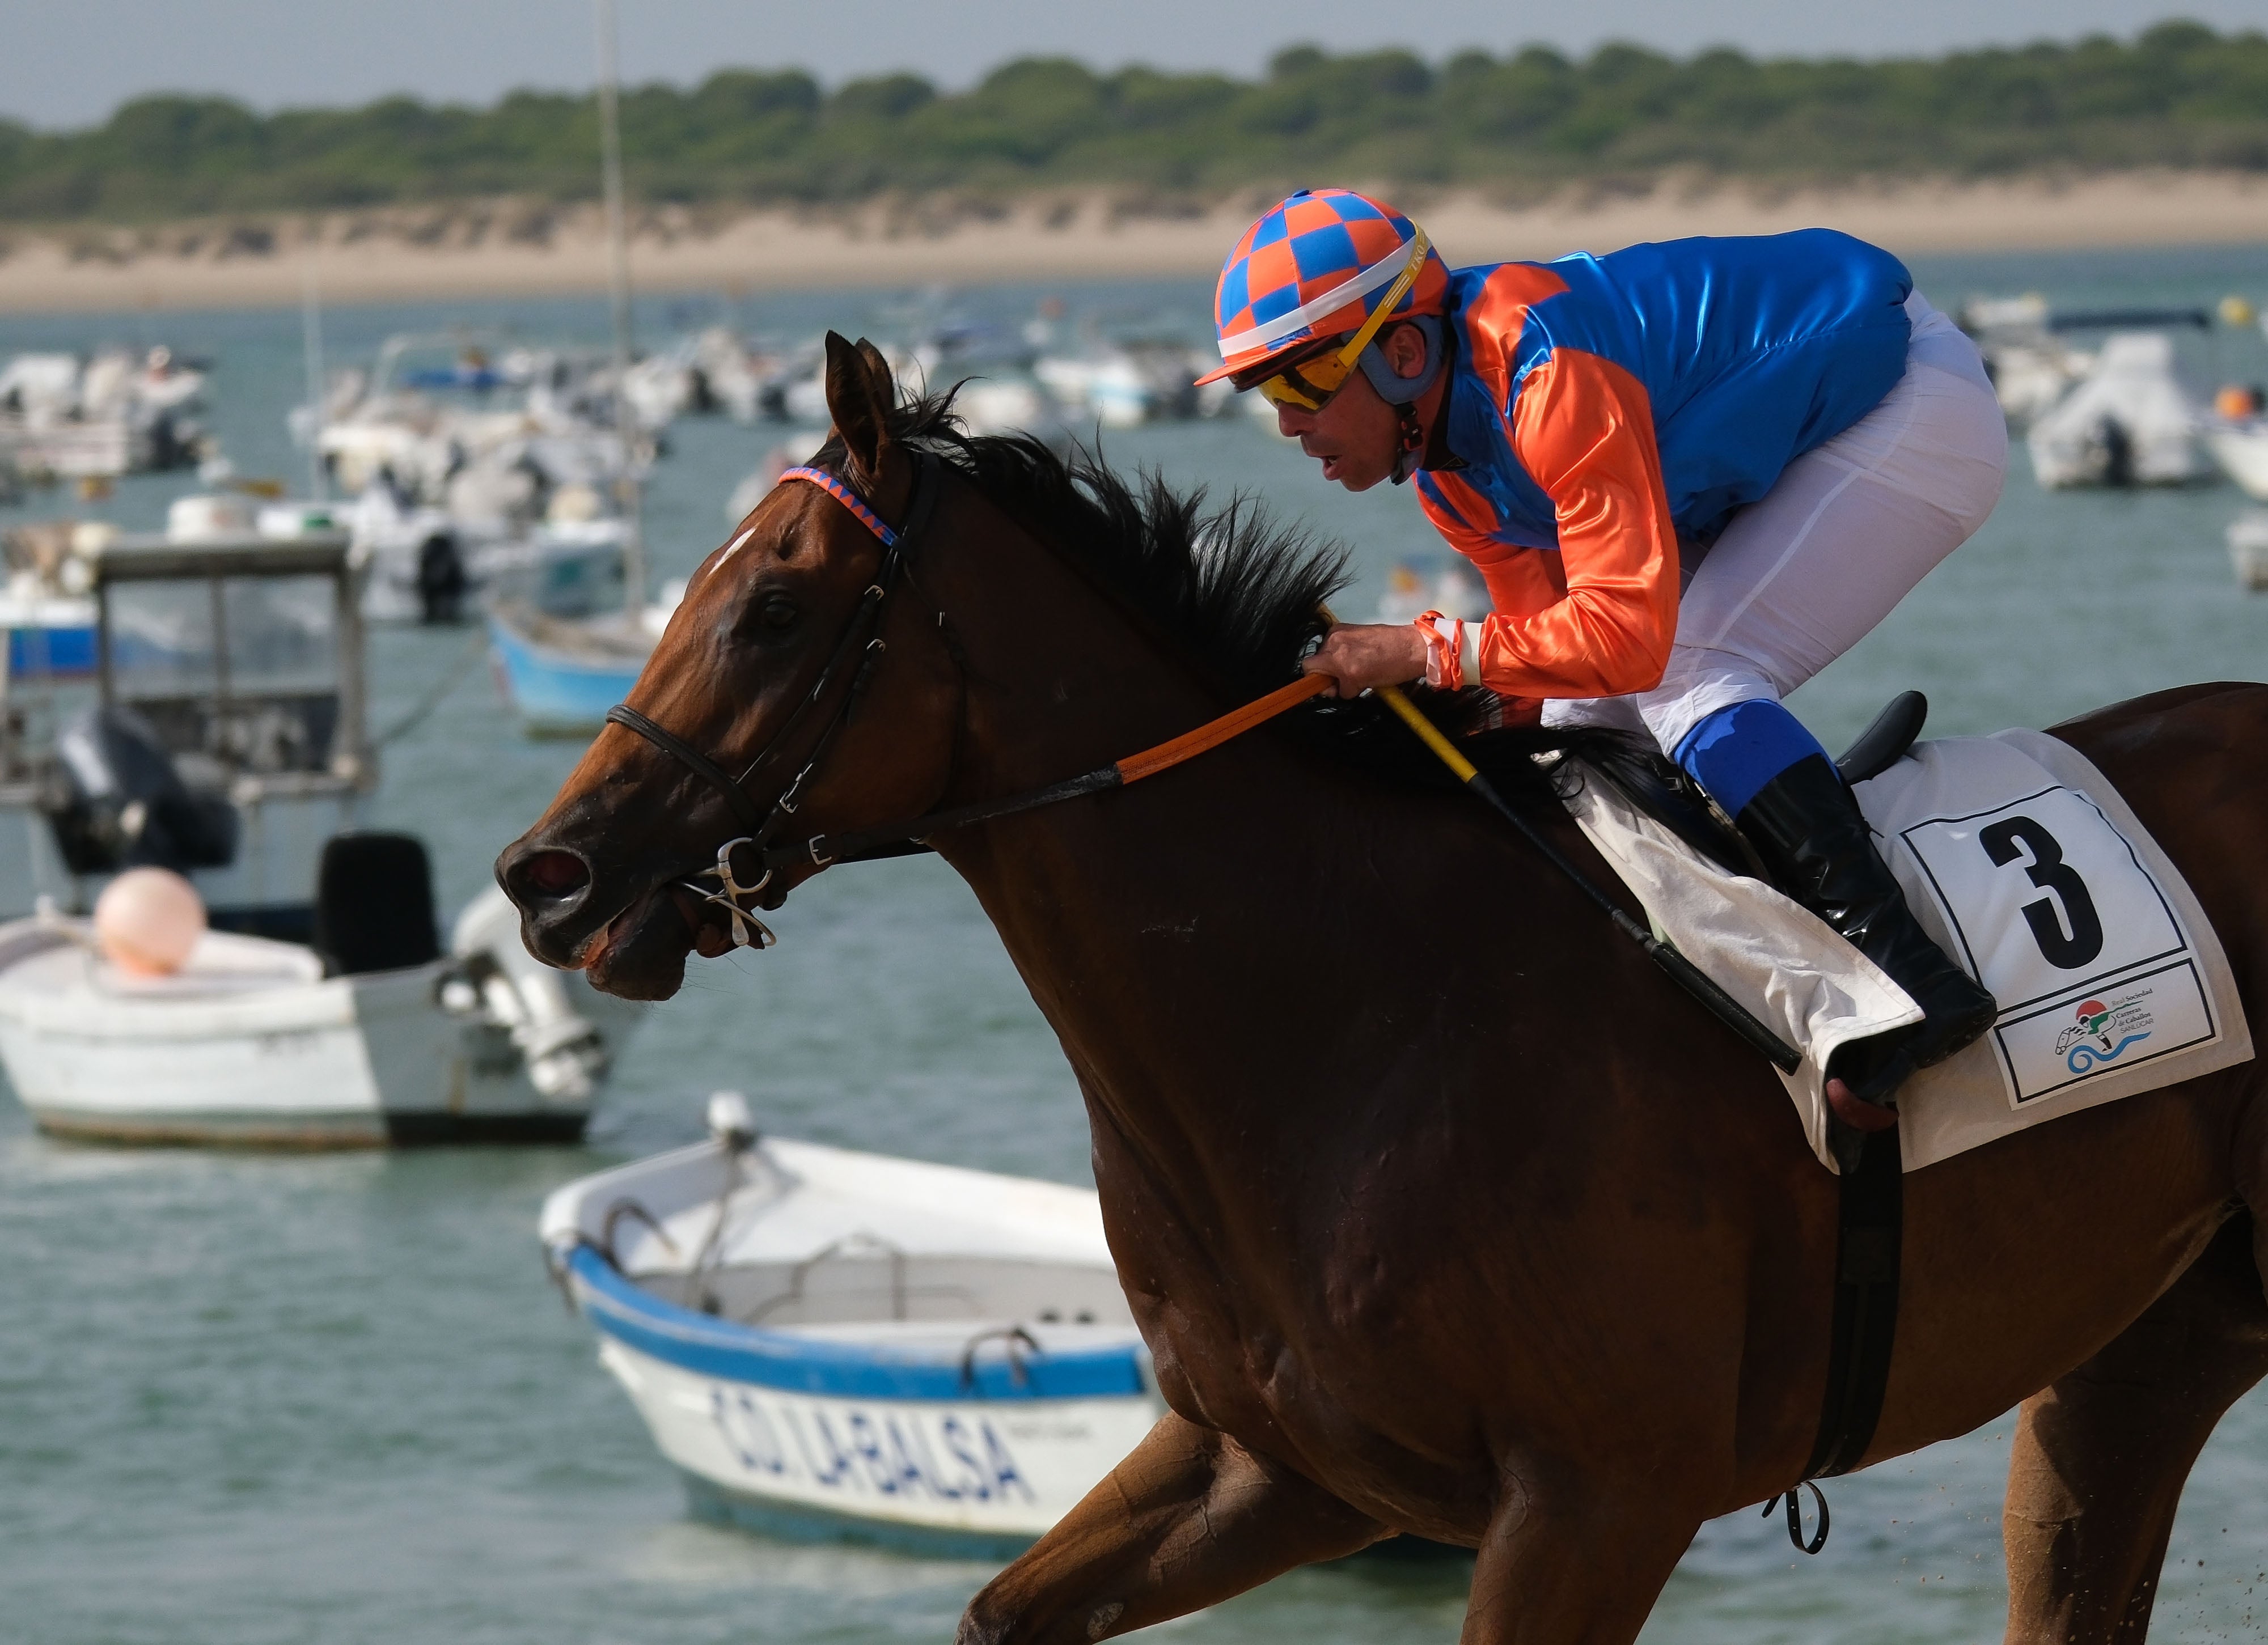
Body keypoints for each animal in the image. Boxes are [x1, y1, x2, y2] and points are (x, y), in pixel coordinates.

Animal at [506, 337, 2268, 1645]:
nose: (550, 874)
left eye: (770, 605)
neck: (1345, 1008)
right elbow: (1006, 1607)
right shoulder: (1275, 1464)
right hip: (2142, 1350)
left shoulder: (1598, 1498)